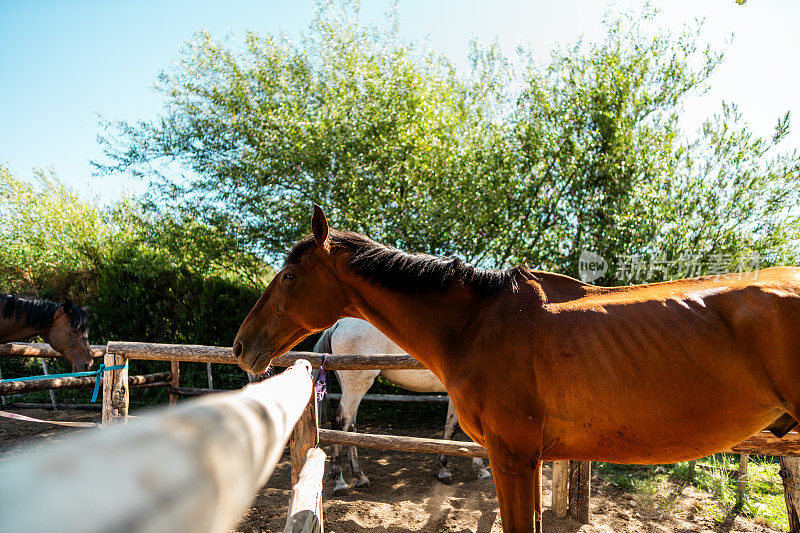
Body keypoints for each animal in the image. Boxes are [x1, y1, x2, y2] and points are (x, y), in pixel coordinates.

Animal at [316, 316, 490, 494]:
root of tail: (339, 324)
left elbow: (451, 428)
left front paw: (444, 470)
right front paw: (480, 468)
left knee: (350, 427)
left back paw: (361, 477)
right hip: (357, 386)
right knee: (340, 422)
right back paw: (340, 481)